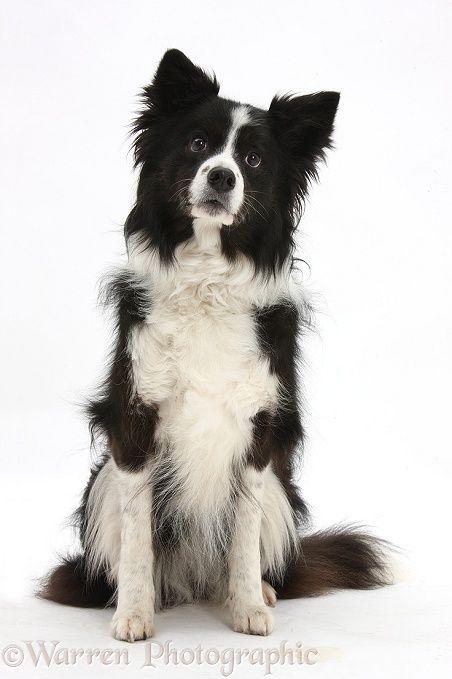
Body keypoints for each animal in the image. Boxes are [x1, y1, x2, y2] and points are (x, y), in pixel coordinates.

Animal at [39, 50, 388, 640]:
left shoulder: (257, 432)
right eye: (198, 144)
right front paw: (134, 614)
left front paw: (247, 606)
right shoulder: (134, 425)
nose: (222, 176)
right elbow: (138, 537)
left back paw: (260, 591)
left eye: (252, 160)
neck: (206, 277)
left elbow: (243, 535)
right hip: (101, 482)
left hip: (279, 490)